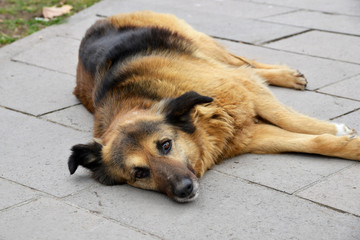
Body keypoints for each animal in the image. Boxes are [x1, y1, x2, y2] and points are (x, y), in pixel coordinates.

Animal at [68, 11, 360, 202]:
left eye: (165, 145)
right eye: (139, 173)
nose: (184, 190)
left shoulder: (246, 91)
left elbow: (289, 118)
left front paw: (338, 130)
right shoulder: (252, 137)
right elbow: (315, 143)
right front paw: (349, 146)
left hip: (202, 43)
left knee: (243, 63)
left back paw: (286, 76)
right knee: (244, 66)